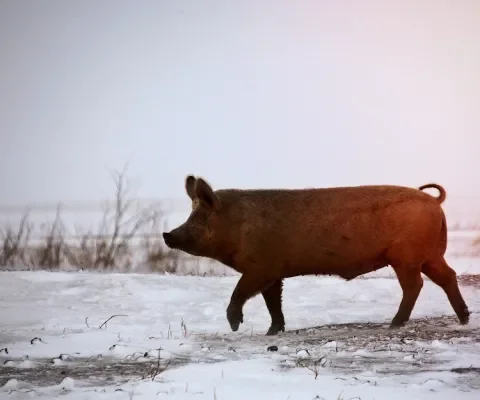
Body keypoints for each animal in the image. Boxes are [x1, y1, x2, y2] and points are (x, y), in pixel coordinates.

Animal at [163, 177, 470, 336]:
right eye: (191, 213)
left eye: (199, 217)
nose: (167, 234)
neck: (236, 226)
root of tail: (434, 201)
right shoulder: (274, 272)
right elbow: (273, 302)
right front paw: (274, 331)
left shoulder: (260, 268)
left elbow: (240, 292)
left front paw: (235, 326)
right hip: (430, 254)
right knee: (448, 276)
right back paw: (464, 319)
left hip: (406, 257)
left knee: (415, 285)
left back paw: (394, 323)